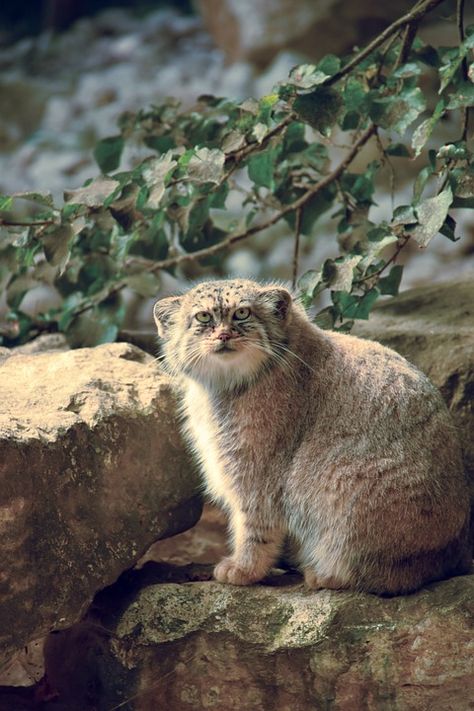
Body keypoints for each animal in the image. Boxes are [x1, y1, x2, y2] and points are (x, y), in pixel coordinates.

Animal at [155, 278, 470, 596]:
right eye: (203, 317)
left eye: (242, 313)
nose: (223, 335)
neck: (225, 385)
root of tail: (448, 556)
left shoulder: (258, 471)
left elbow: (254, 522)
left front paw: (245, 569)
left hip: (339, 477)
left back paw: (325, 574)